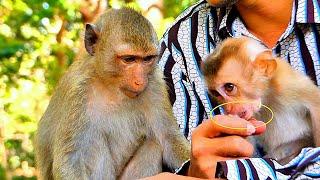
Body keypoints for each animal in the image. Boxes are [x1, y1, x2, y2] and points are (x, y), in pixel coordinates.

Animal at [35, 7, 190, 179]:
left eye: (147, 59)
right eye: (129, 59)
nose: (140, 81)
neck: (111, 86)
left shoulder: (155, 85)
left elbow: (168, 138)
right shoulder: (76, 92)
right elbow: (70, 160)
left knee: (153, 144)